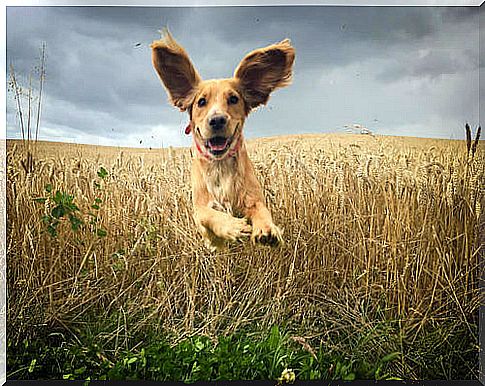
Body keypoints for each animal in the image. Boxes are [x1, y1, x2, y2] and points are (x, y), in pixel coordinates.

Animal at [151, 30, 294, 250]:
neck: (220, 166)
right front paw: (233, 227)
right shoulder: (199, 210)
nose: (217, 120)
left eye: (233, 99)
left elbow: (262, 210)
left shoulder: (253, 197)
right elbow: (209, 214)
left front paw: (267, 229)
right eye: (201, 102)